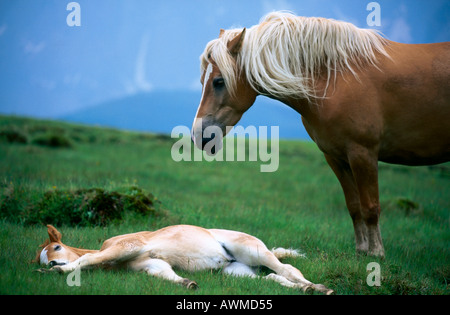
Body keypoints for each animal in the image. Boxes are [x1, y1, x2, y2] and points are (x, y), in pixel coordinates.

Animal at [193, 12, 450, 260]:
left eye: (218, 81)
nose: (198, 135)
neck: (336, 78)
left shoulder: (363, 153)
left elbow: (370, 206)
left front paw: (376, 253)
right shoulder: (336, 156)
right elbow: (354, 206)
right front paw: (361, 250)